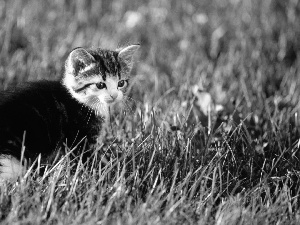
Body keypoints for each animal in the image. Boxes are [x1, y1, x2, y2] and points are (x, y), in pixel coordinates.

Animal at [0, 44, 139, 183]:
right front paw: (99, 173)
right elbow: (86, 159)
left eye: (121, 83)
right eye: (100, 85)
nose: (114, 95)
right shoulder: (79, 138)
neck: (79, 100)